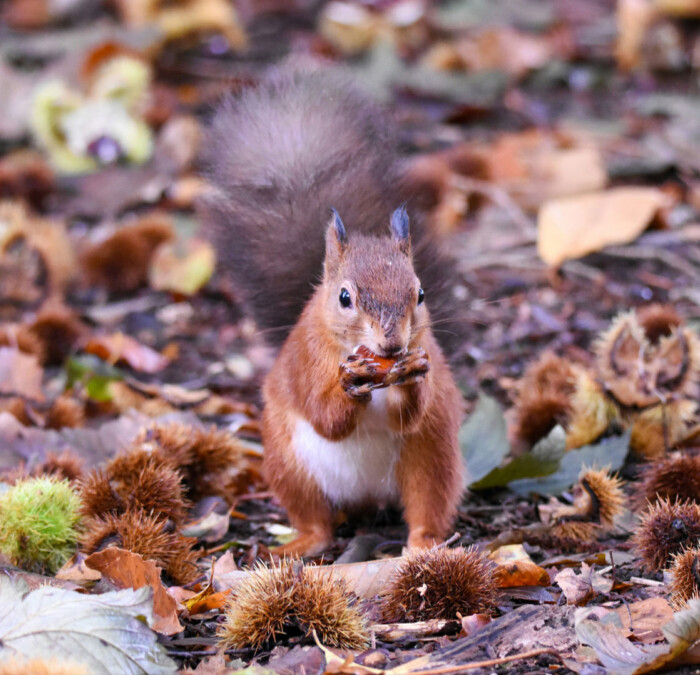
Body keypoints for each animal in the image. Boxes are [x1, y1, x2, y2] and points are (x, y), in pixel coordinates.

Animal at [202, 69, 465, 555]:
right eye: (345, 298)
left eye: (420, 294)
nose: (392, 345)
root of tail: (365, 497)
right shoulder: (308, 360)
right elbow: (326, 417)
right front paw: (349, 385)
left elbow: (408, 414)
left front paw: (413, 373)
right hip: (288, 465)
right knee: (317, 523)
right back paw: (299, 544)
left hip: (432, 457)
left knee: (427, 506)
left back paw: (424, 544)